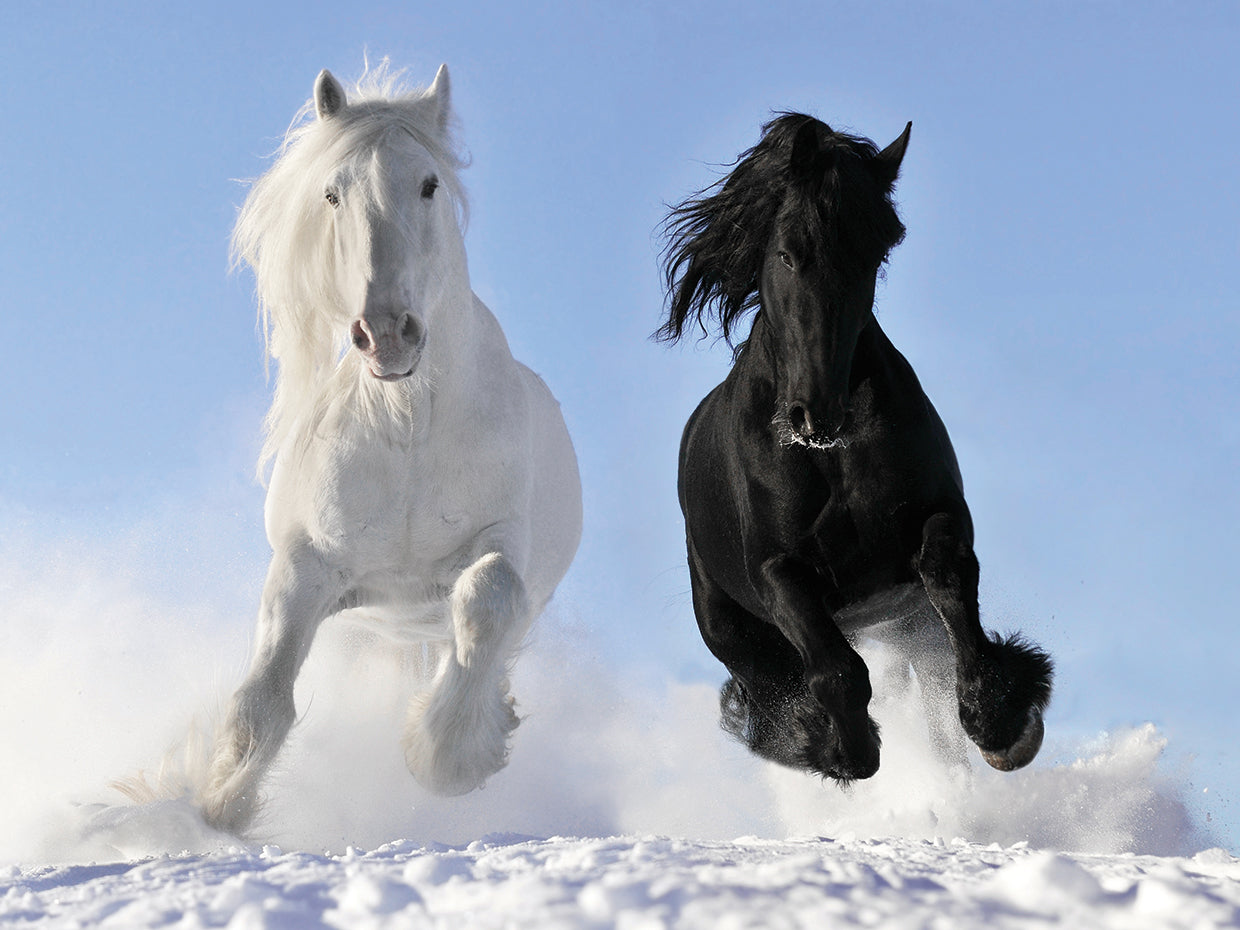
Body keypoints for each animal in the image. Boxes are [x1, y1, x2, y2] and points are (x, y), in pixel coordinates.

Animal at [200, 63, 582, 834]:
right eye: (332, 192)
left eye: (429, 183)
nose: (385, 333)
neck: (406, 427)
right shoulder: (307, 565)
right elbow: (262, 699)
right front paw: (215, 806)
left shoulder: (502, 542)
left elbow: (489, 597)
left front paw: (445, 757)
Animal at [656, 113, 1052, 783]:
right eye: (788, 252)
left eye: (872, 255)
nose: (815, 413)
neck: (829, 457)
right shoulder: (778, 571)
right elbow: (835, 672)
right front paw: (840, 748)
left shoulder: (938, 515)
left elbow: (948, 577)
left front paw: (1002, 721)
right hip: (731, 627)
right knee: (772, 685)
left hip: (907, 625)